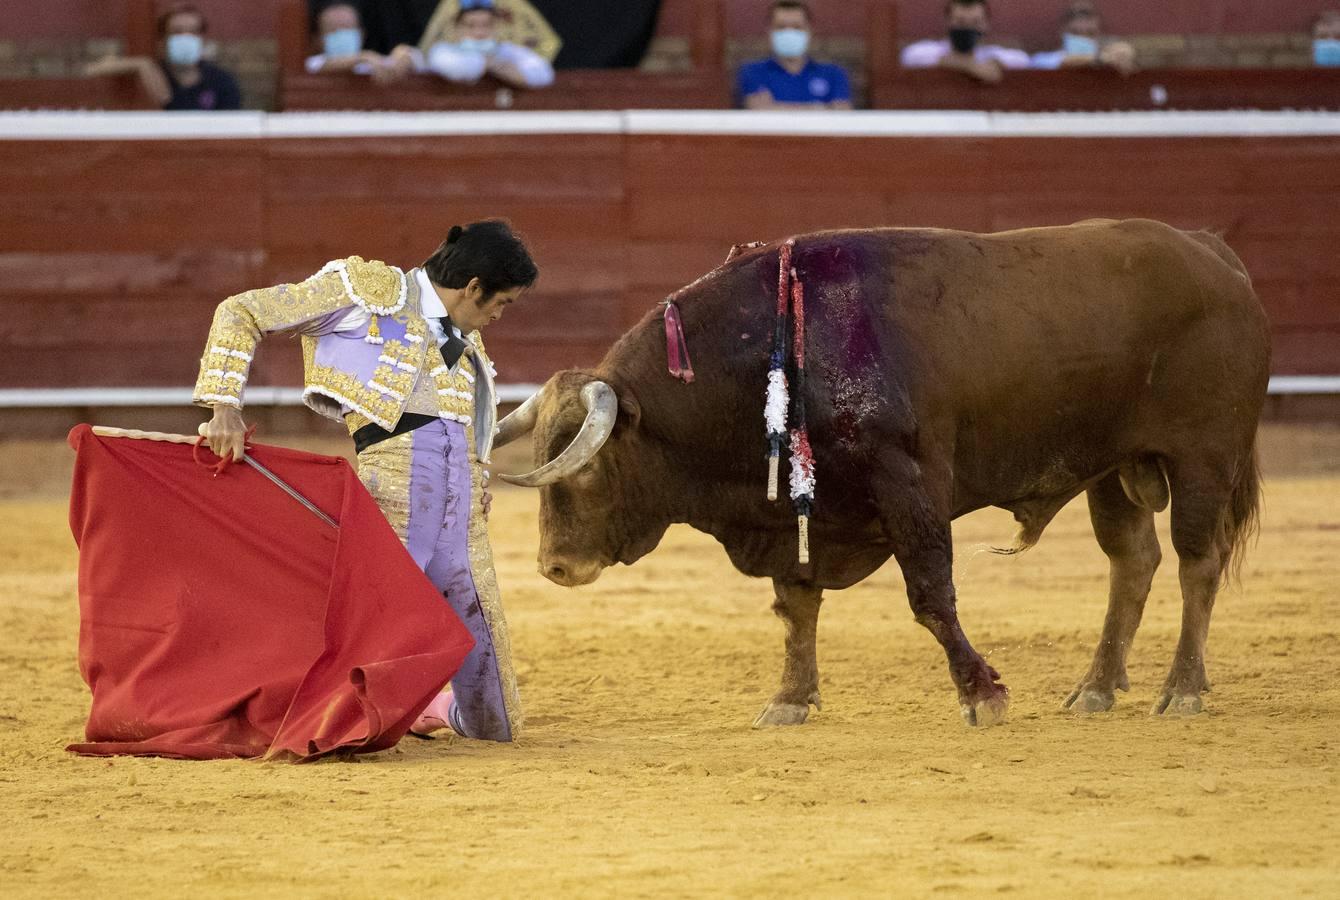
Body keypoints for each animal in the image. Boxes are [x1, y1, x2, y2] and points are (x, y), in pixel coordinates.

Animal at [493, 220, 1264, 728]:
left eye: (588, 472)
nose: (555, 567)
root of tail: (1216, 253)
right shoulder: (796, 512)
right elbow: (796, 606)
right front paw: (789, 699)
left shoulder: (909, 485)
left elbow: (930, 595)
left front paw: (982, 693)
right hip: (1112, 466)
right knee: (1133, 561)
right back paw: (1097, 688)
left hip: (1204, 455)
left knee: (1197, 562)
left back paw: (1184, 689)